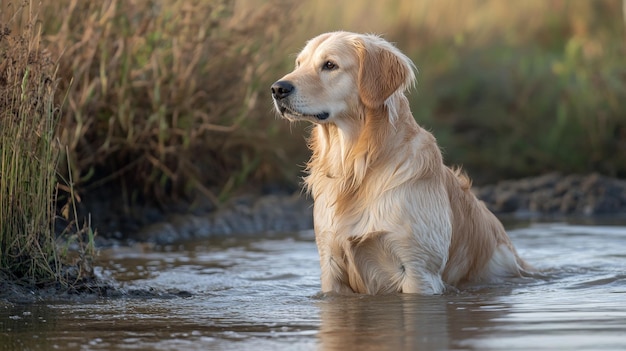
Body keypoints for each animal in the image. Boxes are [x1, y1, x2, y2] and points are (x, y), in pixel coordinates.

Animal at [270, 31, 528, 296]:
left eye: (330, 65)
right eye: (299, 64)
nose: (277, 89)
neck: (356, 166)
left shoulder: (419, 270)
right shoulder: (330, 263)